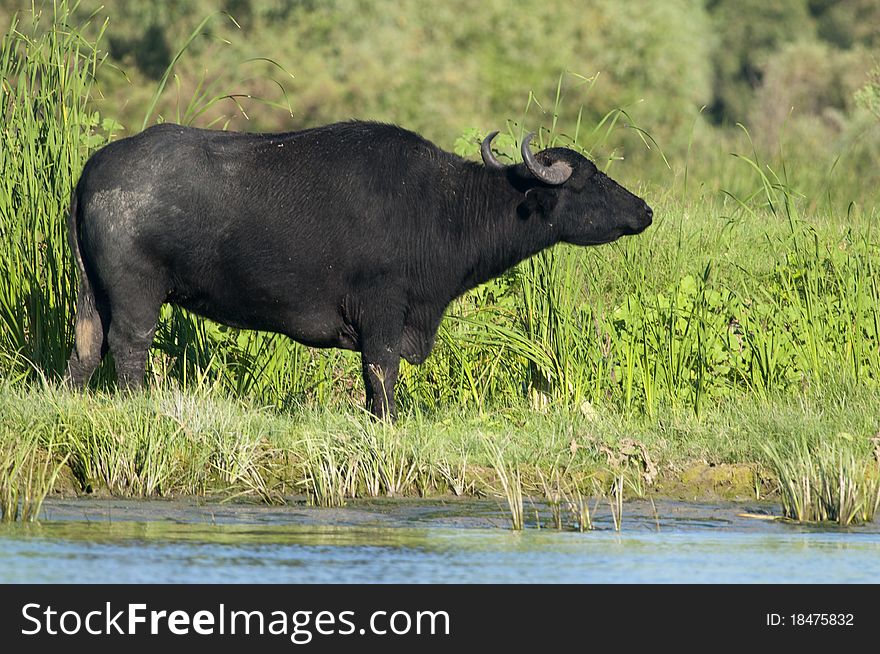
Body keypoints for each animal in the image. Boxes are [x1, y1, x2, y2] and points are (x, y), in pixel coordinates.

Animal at [65, 121, 648, 420]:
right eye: (589, 179)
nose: (644, 210)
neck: (443, 209)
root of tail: (94, 170)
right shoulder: (384, 314)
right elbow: (381, 375)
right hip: (138, 293)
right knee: (130, 348)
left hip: (91, 293)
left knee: (86, 347)